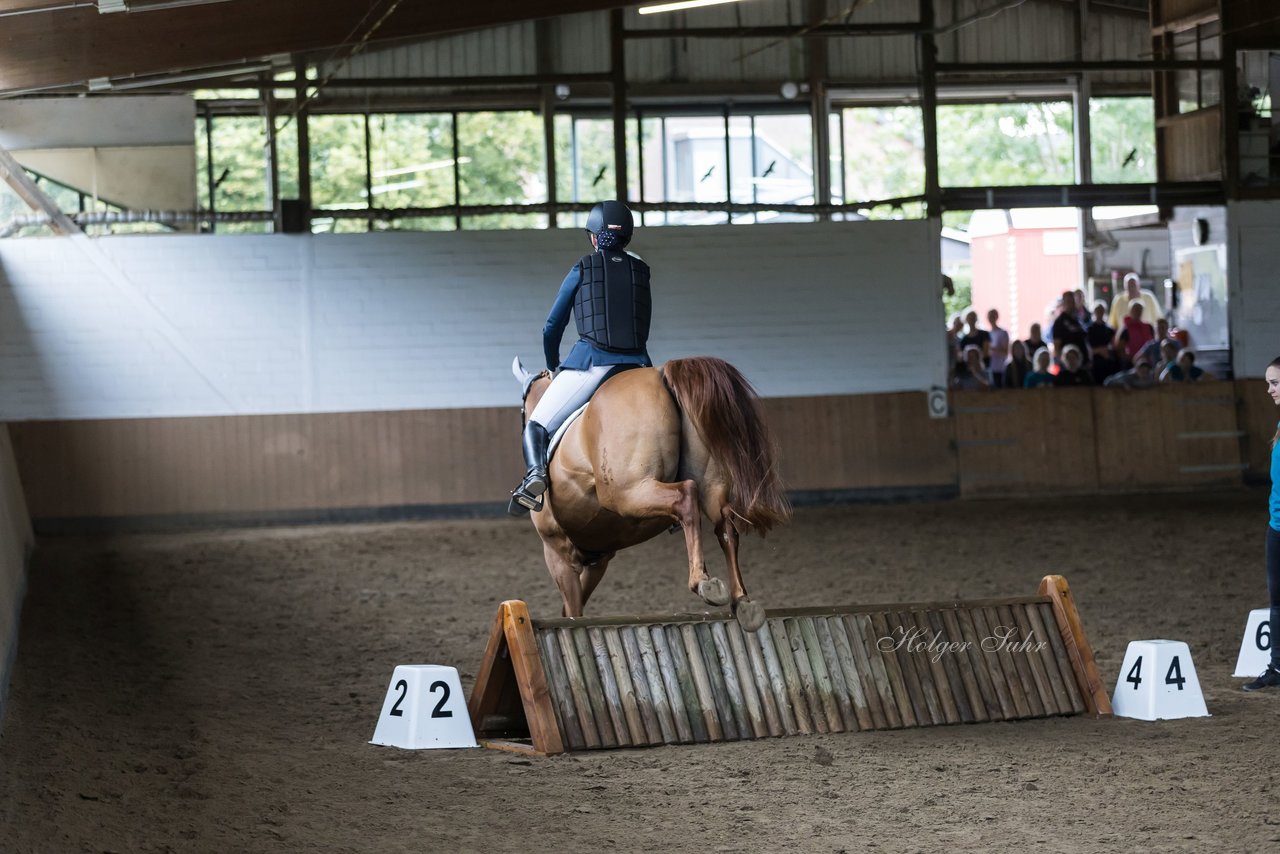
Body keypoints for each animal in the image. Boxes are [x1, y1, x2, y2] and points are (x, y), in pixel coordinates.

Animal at [514, 355, 783, 635]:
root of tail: (662, 374)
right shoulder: (599, 558)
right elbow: (574, 607)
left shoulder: (557, 552)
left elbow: (573, 612)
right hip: (710, 487)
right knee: (725, 524)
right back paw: (742, 601)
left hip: (630, 493)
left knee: (685, 495)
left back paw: (701, 581)